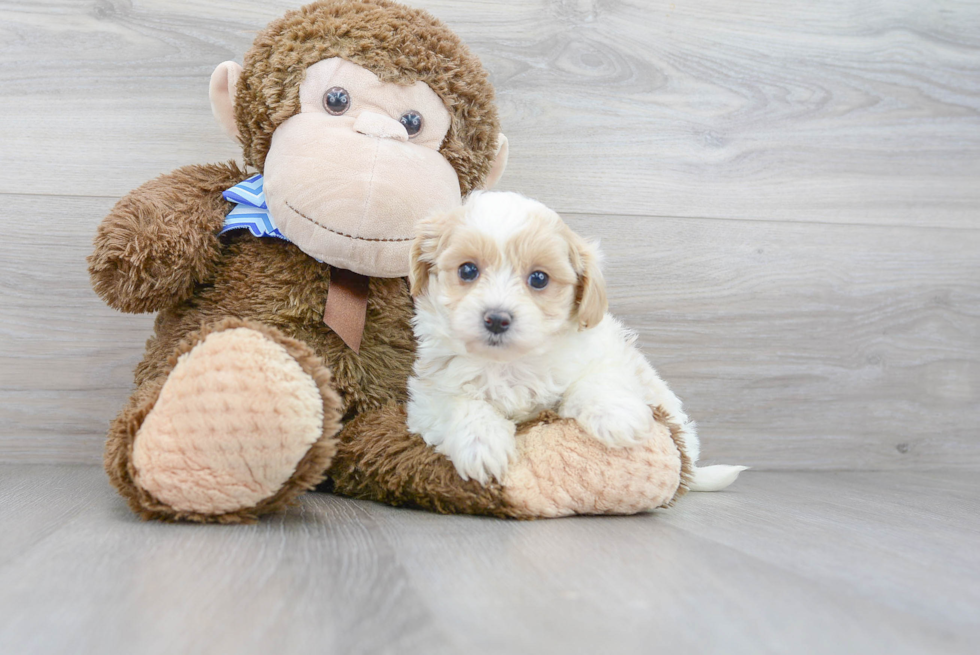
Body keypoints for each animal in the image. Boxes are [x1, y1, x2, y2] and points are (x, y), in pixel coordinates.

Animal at [406, 192, 744, 490]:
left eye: (539, 279)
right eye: (467, 270)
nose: (497, 319)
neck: (509, 364)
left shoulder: (605, 354)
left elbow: (593, 382)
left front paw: (617, 416)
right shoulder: (428, 396)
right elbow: (460, 404)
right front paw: (481, 444)